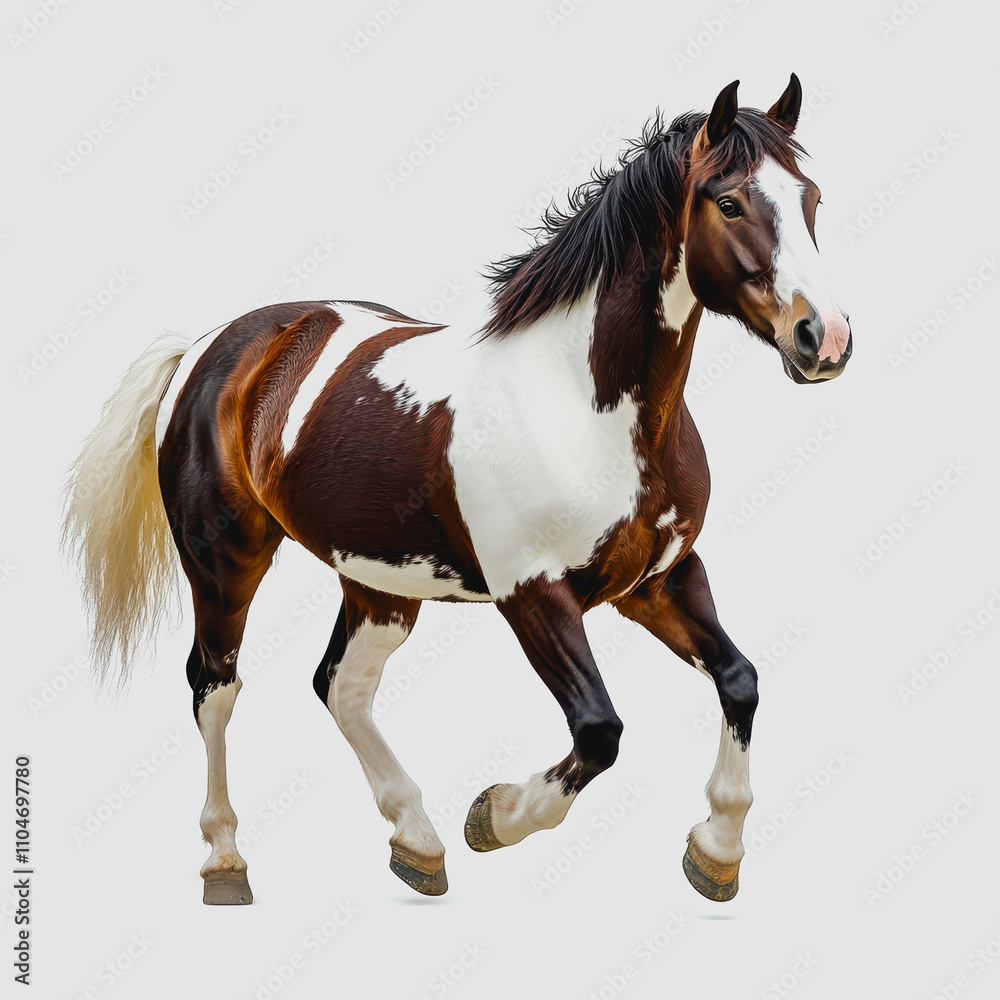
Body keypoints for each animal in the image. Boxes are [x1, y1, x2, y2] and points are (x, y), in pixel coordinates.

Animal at [62, 75, 852, 906]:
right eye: (728, 202)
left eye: (812, 198)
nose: (824, 339)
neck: (584, 405)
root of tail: (213, 346)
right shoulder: (532, 594)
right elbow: (600, 731)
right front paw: (496, 817)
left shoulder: (657, 581)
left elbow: (740, 680)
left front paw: (716, 851)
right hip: (225, 561)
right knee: (214, 687)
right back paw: (227, 861)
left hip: (378, 581)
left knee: (339, 685)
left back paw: (417, 842)